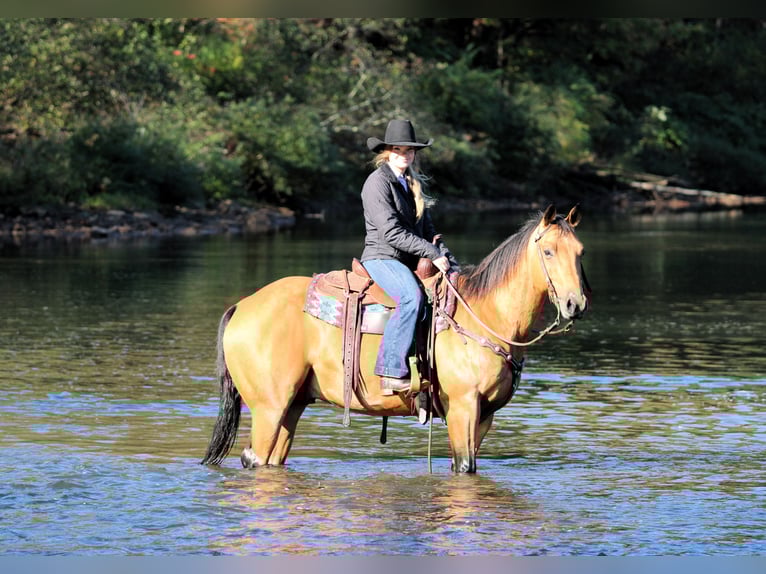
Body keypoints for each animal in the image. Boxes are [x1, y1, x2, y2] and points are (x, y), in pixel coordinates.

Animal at [201, 204, 588, 473]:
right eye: (548, 251)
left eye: (580, 251)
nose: (576, 304)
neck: (484, 313)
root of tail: (242, 305)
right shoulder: (463, 407)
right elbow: (465, 468)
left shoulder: (485, 415)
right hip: (269, 406)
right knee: (254, 458)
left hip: (292, 405)